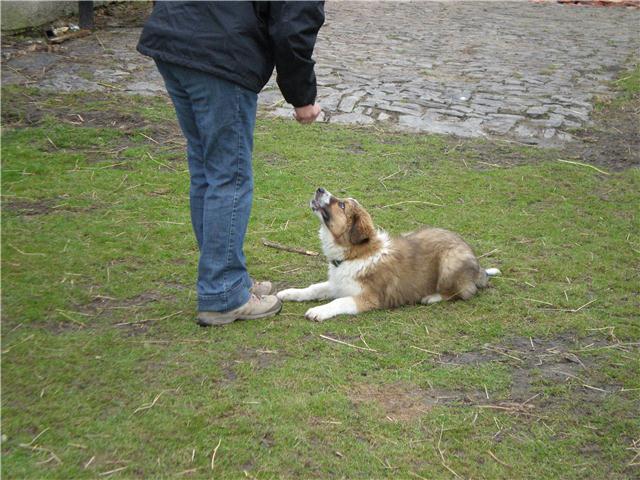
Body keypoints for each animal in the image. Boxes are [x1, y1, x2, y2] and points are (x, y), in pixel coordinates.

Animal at [276, 188, 500, 321]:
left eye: (341, 205)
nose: (320, 189)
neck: (354, 255)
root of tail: (478, 268)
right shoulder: (338, 284)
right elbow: (314, 288)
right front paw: (289, 293)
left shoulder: (369, 298)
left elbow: (338, 302)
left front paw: (318, 311)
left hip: (450, 262)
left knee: (463, 292)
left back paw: (431, 297)